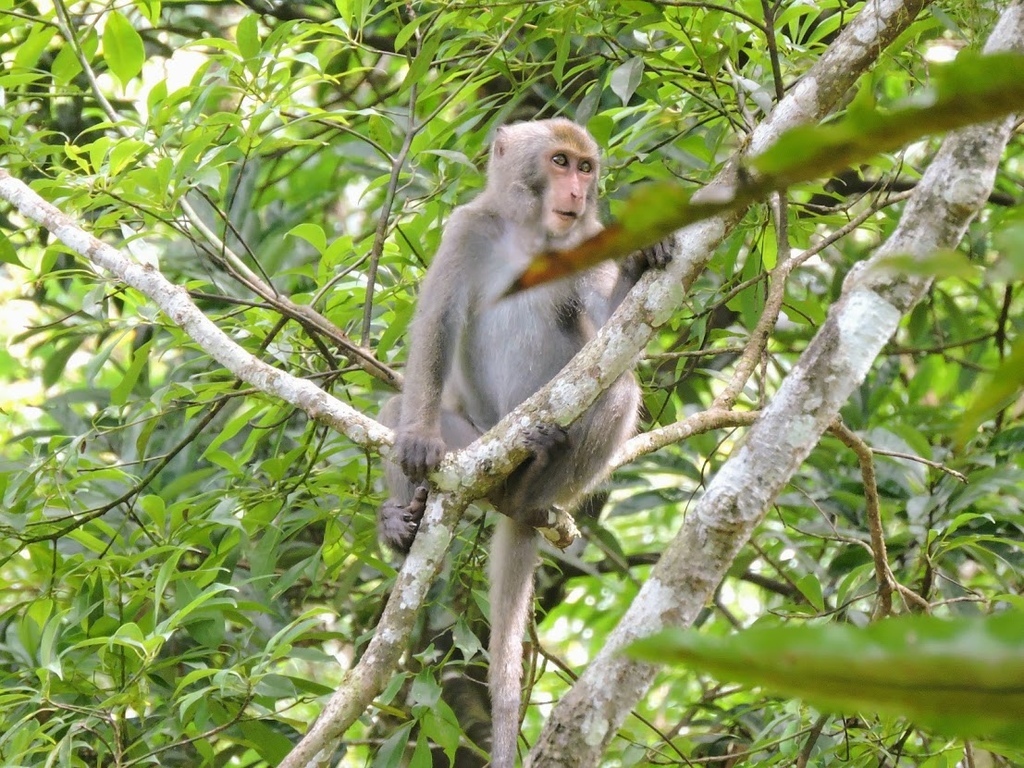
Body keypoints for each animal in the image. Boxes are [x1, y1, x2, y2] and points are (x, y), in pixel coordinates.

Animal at [376, 117, 671, 765]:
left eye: (586, 167)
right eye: (559, 161)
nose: (578, 192)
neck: (535, 236)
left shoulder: (590, 243)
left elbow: (614, 334)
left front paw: (643, 259)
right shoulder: (467, 230)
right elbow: (436, 324)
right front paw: (417, 443)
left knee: (617, 392)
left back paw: (530, 491)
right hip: (477, 441)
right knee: (395, 408)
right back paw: (401, 526)